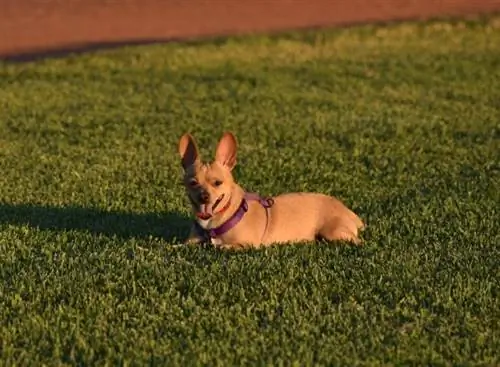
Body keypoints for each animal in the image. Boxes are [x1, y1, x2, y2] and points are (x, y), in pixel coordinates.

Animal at [178, 132, 366, 250]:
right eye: (193, 183)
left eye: (217, 183)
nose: (204, 196)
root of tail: (350, 213)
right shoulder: (189, 242)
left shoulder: (248, 244)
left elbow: (224, 247)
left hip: (333, 232)